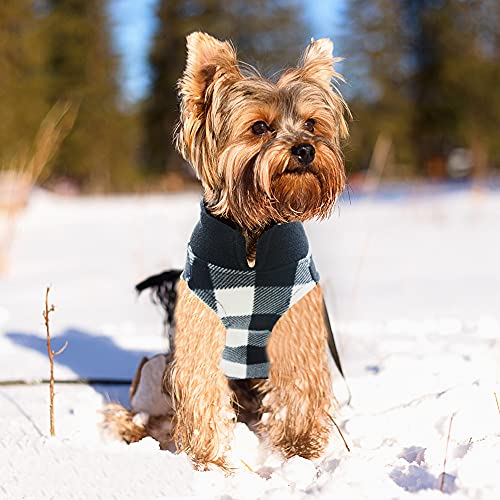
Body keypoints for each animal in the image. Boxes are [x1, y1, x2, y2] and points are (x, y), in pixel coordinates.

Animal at [162, 31, 350, 468]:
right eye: (260, 127)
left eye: (311, 123)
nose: (305, 149)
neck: (253, 235)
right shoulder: (202, 328)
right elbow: (202, 388)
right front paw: (208, 462)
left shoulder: (295, 324)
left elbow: (299, 382)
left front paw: (300, 451)